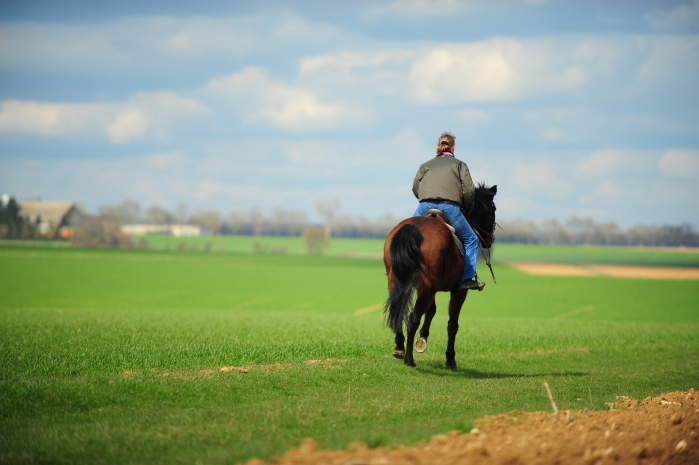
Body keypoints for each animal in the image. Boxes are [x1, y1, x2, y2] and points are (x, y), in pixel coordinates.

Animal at [382, 183, 498, 368]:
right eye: (493, 208)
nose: (490, 239)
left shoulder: (430, 289)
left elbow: (432, 311)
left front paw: (423, 338)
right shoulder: (458, 291)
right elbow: (452, 324)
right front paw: (450, 359)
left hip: (397, 281)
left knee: (398, 310)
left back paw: (399, 348)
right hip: (428, 287)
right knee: (412, 319)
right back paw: (409, 359)